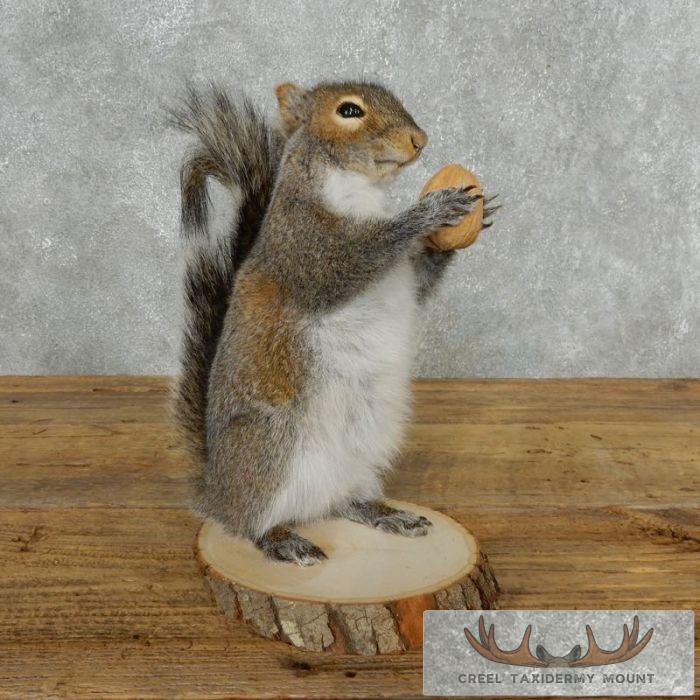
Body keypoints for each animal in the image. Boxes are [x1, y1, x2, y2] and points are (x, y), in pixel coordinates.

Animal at [170, 81, 484, 566]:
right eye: (349, 111)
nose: (420, 140)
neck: (359, 189)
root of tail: (216, 488)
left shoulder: (402, 277)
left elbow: (419, 283)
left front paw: (455, 235)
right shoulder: (304, 247)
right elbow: (353, 260)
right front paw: (431, 211)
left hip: (365, 450)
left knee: (343, 502)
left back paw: (384, 513)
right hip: (269, 450)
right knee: (248, 522)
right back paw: (281, 539)